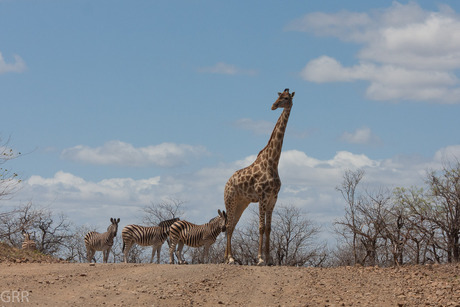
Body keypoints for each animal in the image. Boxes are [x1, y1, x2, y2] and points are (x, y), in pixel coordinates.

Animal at [224, 88, 294, 266]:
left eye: (286, 98)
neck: (273, 162)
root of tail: (227, 183)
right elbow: (261, 227)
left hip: (242, 202)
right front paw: (260, 258)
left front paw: (269, 259)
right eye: (278, 96)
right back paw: (230, 258)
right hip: (230, 200)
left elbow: (268, 228)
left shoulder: (273, 198)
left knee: (232, 226)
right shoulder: (262, 196)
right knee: (228, 226)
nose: (273, 106)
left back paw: (228, 257)